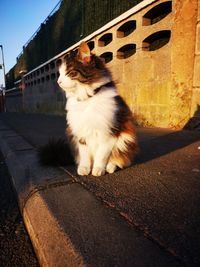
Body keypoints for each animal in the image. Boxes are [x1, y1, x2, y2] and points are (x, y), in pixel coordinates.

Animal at [41, 42, 138, 177]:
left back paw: (110, 167)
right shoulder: (81, 133)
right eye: (59, 74)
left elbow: (102, 156)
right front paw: (85, 168)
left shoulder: (108, 132)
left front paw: (98, 169)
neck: (87, 99)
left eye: (69, 73)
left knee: (120, 159)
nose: (58, 81)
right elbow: (85, 156)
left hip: (125, 139)